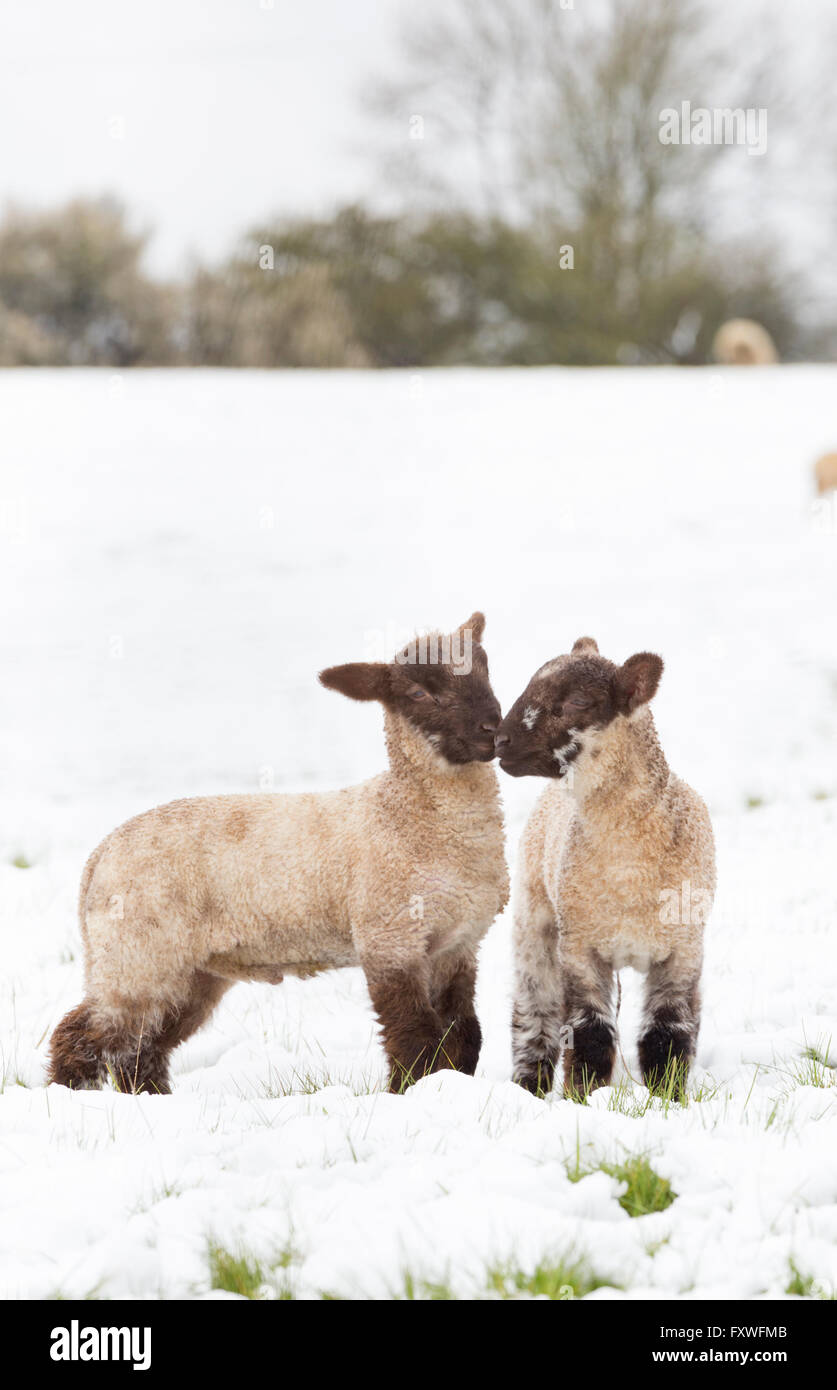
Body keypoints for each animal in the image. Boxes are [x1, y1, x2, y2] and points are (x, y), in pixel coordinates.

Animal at [49, 614, 506, 1089]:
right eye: (417, 693)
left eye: (485, 670)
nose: (492, 729)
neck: (410, 816)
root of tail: (97, 857)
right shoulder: (389, 938)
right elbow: (416, 1039)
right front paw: (412, 1091)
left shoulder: (457, 945)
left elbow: (464, 1036)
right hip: (136, 954)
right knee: (83, 1035)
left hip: (190, 971)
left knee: (141, 1049)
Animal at [492, 636, 711, 1100]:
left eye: (577, 701)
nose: (500, 740)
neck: (629, 869)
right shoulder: (579, 946)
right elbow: (589, 1031)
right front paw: (585, 1096)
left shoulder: (683, 949)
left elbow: (668, 1031)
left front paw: (668, 1098)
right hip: (534, 919)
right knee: (534, 1011)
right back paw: (528, 1086)